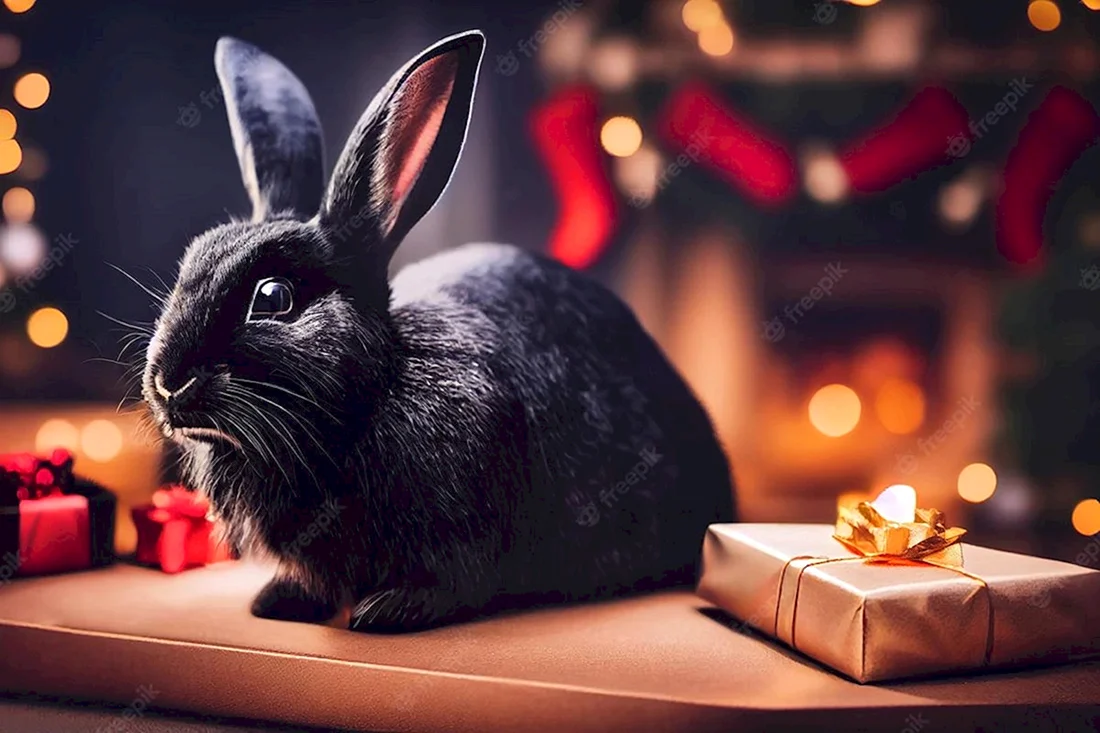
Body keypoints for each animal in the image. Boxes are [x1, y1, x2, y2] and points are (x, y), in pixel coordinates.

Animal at [141, 29, 736, 632]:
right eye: (192, 259)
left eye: (273, 297)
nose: (168, 382)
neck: (370, 398)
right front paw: (278, 602)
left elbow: (451, 582)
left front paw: (384, 612)